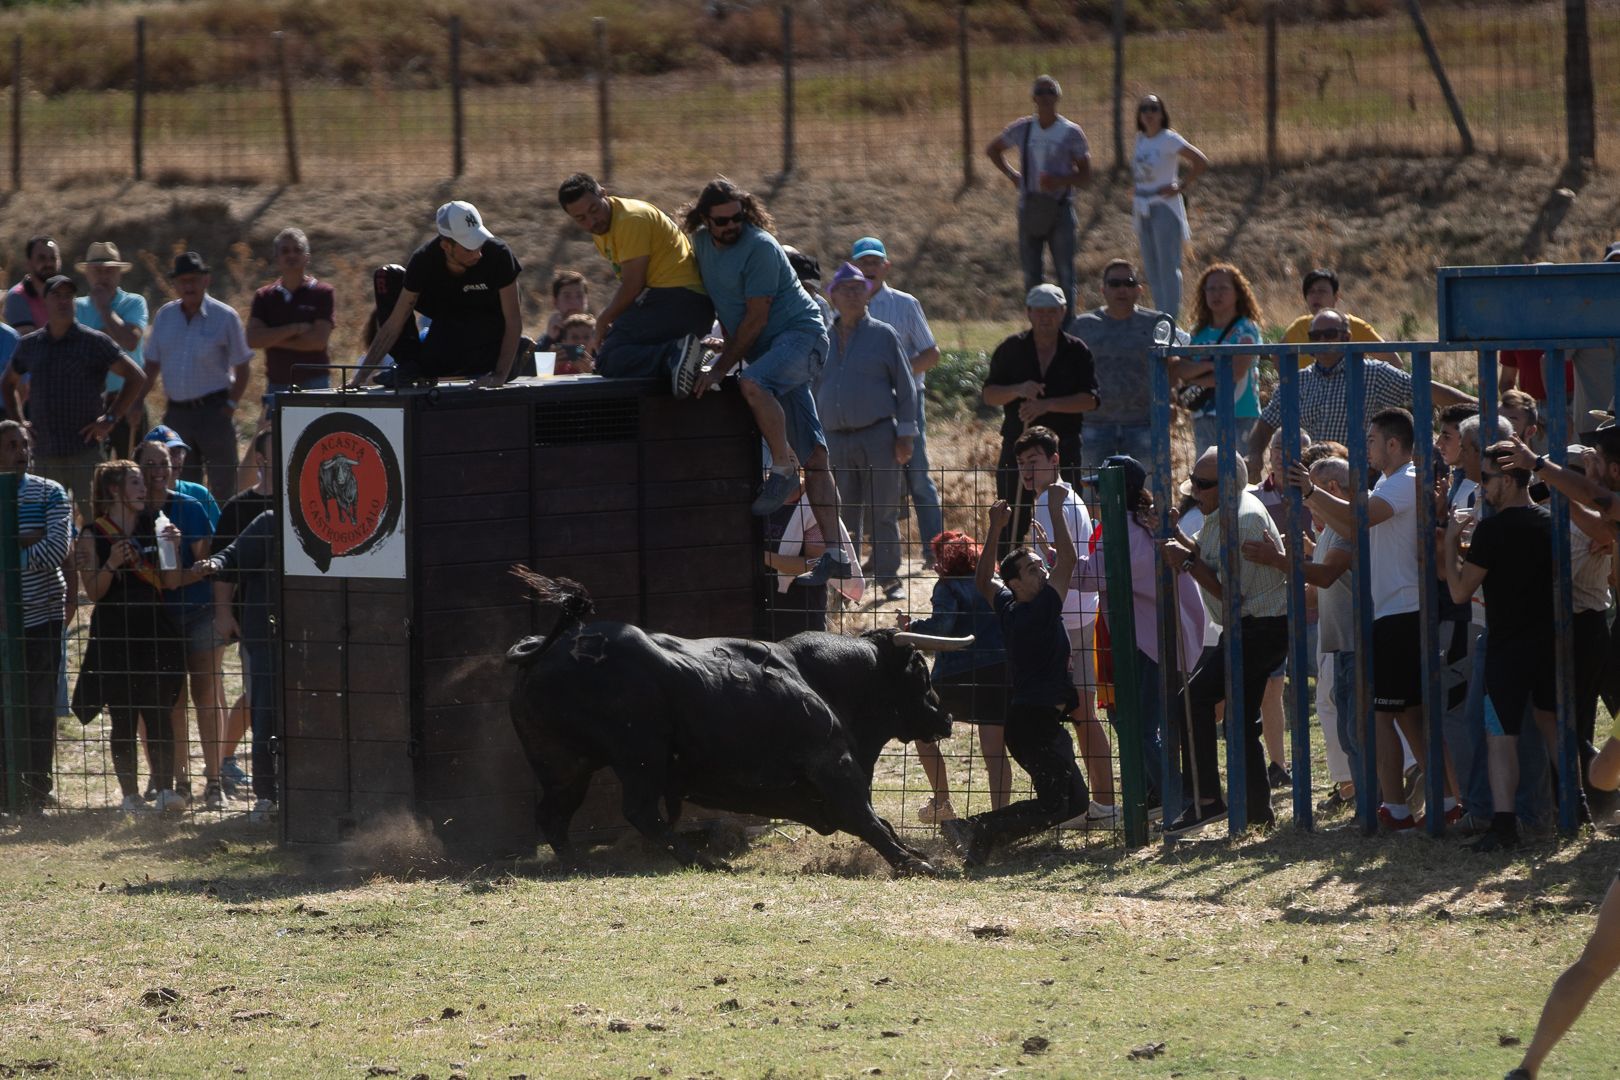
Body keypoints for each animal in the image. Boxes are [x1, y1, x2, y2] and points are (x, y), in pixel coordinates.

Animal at [502, 573, 972, 880]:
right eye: (919, 670)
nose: (946, 717)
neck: (817, 676)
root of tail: (546, 648)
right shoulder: (833, 764)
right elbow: (867, 819)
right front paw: (914, 862)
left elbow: (878, 821)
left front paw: (913, 852)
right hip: (639, 754)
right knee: (639, 811)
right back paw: (707, 861)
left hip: (566, 765)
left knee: (553, 816)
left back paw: (578, 863)